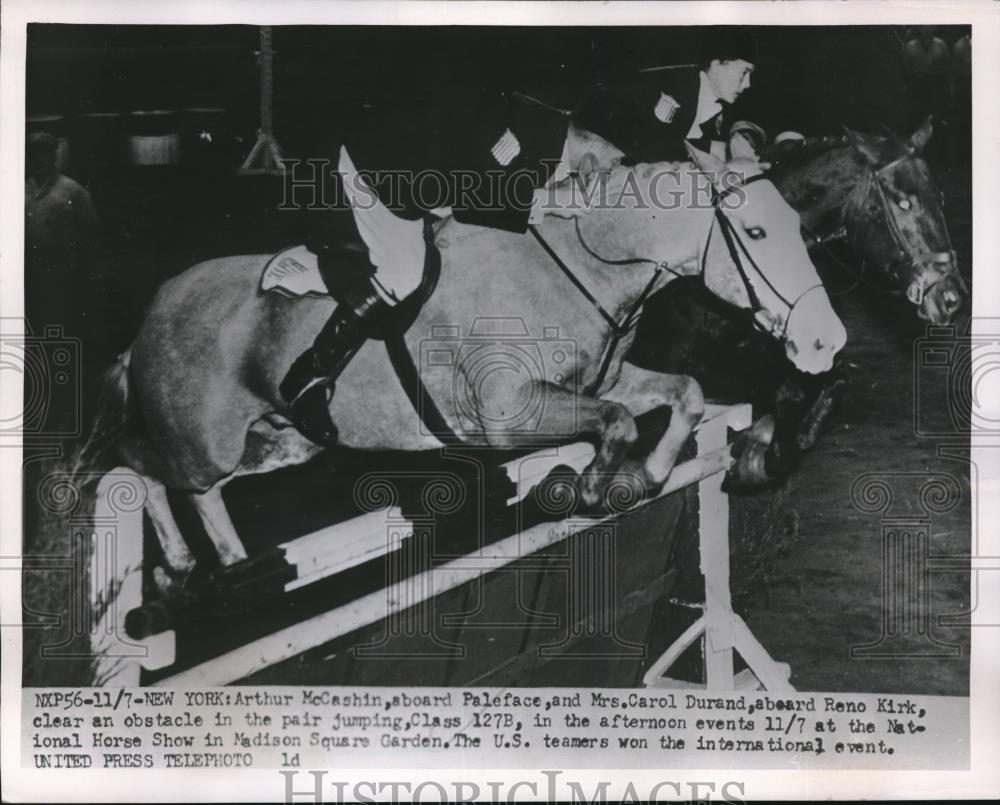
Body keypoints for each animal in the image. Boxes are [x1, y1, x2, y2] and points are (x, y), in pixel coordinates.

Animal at [78, 144, 848, 572]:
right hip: (201, 443)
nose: (826, 344)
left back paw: (214, 563)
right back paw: (191, 566)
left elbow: (679, 394)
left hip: (280, 442)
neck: (575, 271)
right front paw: (594, 487)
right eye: (755, 232)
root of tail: (148, 318)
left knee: (190, 487)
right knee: (142, 467)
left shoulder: (608, 378)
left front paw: (646, 476)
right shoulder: (507, 416)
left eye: (799, 226)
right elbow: (617, 422)